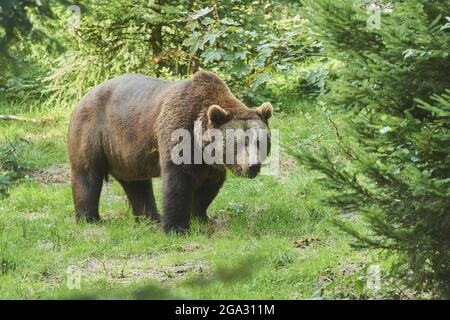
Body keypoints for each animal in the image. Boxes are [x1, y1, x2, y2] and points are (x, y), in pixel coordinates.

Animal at [67, 71, 270, 232]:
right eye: (239, 143)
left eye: (260, 142)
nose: (253, 166)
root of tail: (84, 96)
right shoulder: (178, 132)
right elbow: (177, 184)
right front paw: (176, 228)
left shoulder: (212, 165)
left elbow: (208, 188)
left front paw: (201, 217)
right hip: (93, 130)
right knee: (87, 175)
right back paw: (90, 219)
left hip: (127, 151)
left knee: (137, 185)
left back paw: (150, 218)